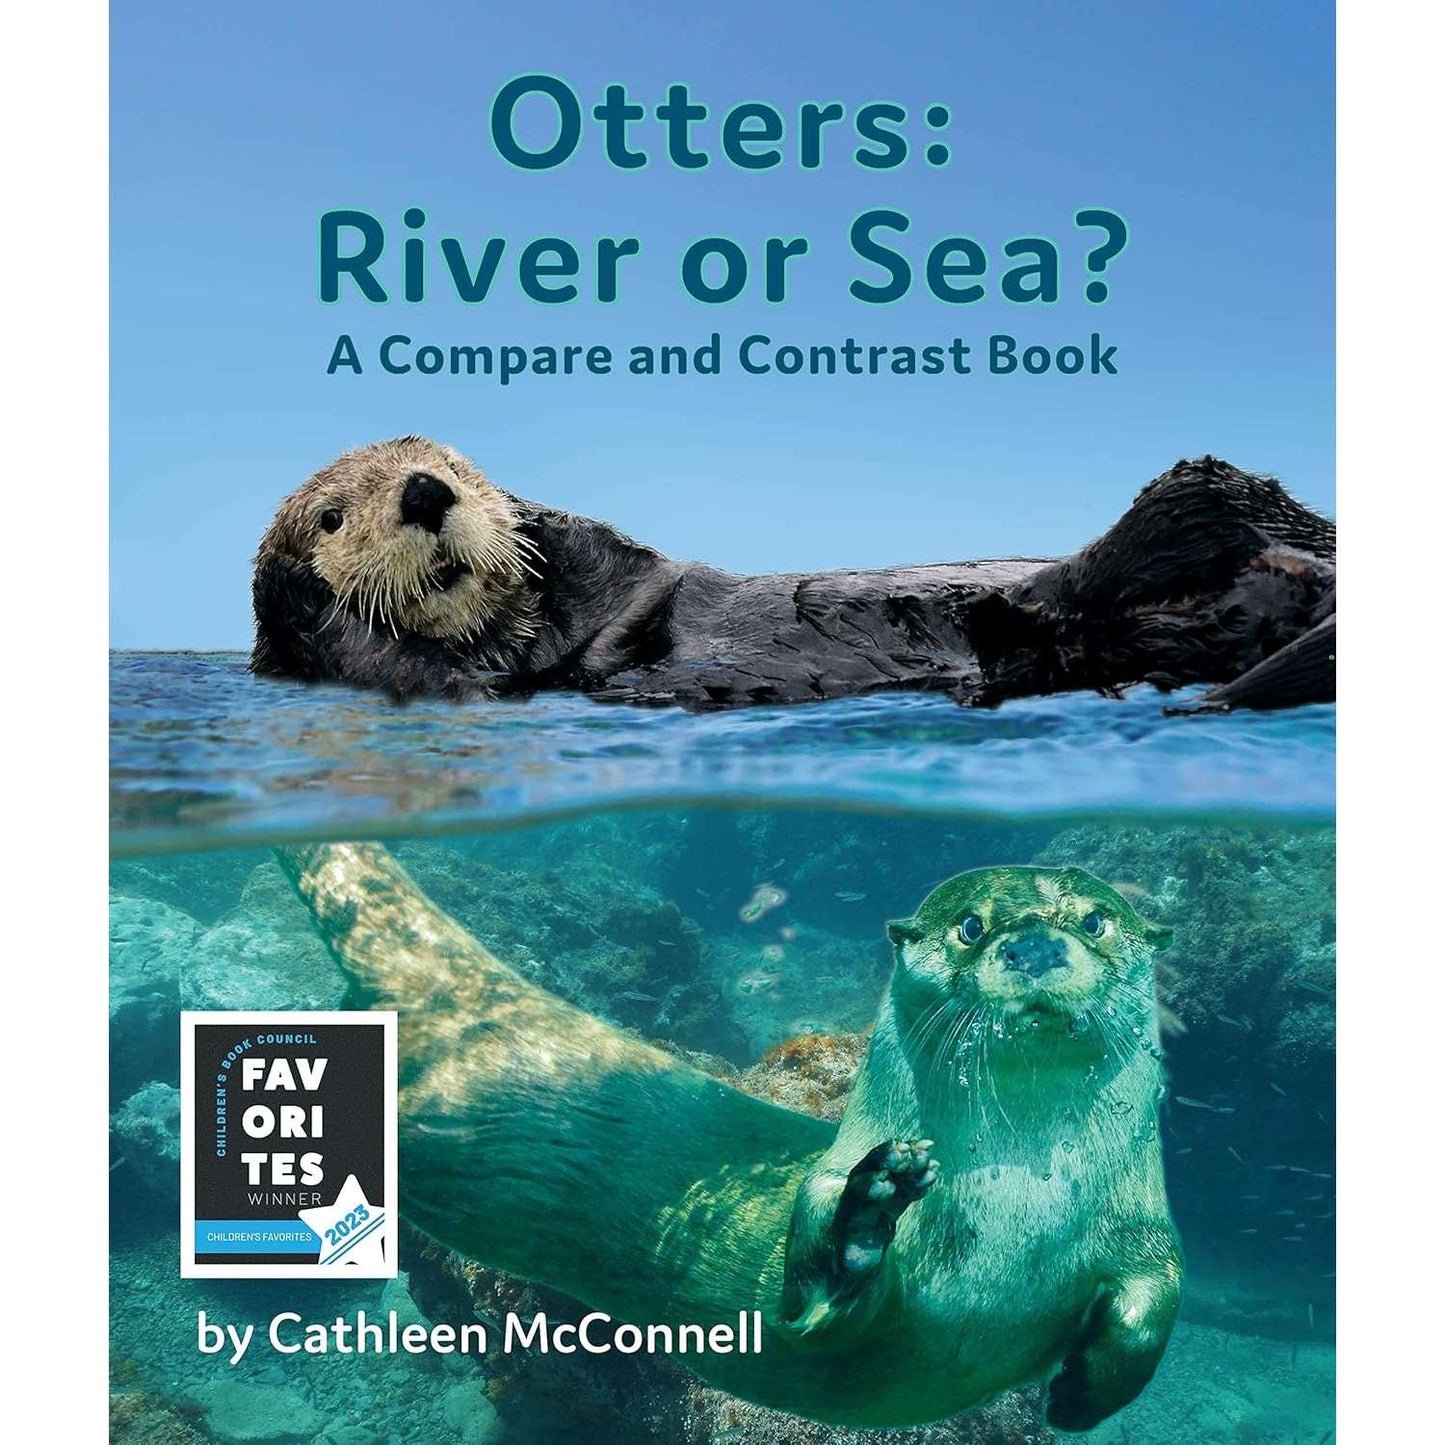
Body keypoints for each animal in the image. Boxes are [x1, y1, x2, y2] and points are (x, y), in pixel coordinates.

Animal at [251, 437, 1335, 711]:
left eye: (457, 463)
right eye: (333, 514)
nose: (427, 490)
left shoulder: (614, 572)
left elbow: (628, 570)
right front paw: (313, 597)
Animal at [276, 842, 1182, 1430]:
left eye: (1095, 919)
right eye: (969, 925)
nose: (1032, 942)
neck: (1022, 1203)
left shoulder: (1146, 1232)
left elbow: (1157, 1302)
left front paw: (1077, 1394)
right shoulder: (828, 1232)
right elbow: (811, 1300)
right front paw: (869, 1210)